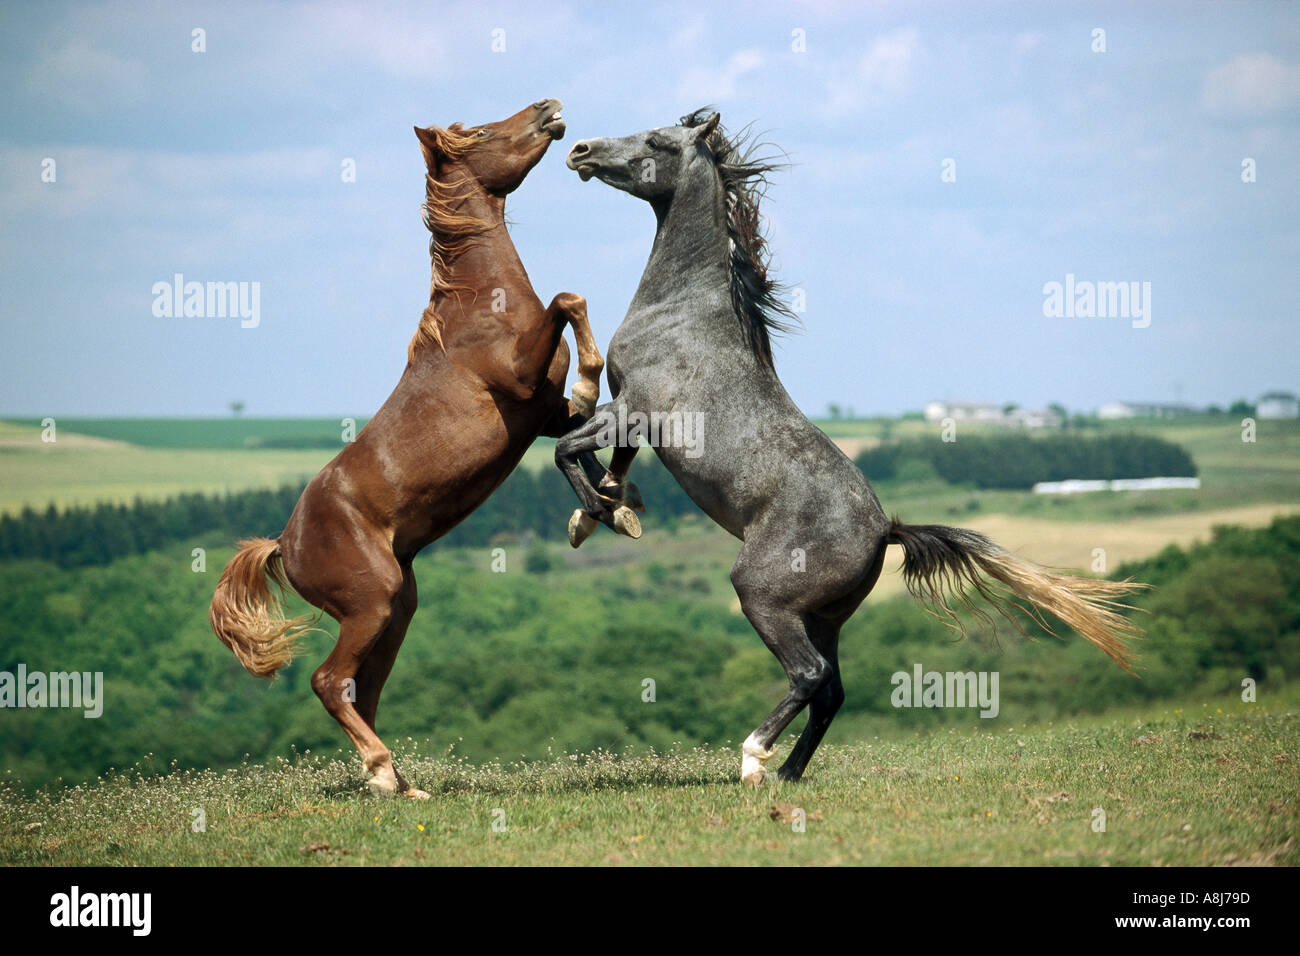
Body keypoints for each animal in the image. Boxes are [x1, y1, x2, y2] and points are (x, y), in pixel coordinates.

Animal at [208, 97, 603, 801]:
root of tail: (285, 543)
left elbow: (581, 426)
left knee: (361, 692)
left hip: (397, 612)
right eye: (480, 132)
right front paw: (591, 385)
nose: (550, 108)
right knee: (329, 682)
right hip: (372, 604)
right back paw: (383, 775)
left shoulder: (542, 416)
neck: (481, 308)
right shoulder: (522, 383)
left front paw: (607, 506)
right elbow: (570, 301)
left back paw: (398, 781)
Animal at [553, 110, 1144, 785]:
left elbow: (567, 444)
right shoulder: (630, 416)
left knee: (808, 677)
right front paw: (612, 508)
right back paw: (787, 776)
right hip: (823, 618)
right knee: (831, 691)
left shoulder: (635, 409)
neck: (684, 313)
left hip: (763, 595)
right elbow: (600, 457)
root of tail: (886, 529)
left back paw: (754, 761)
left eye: (657, 141)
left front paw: (598, 514)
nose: (580, 149)